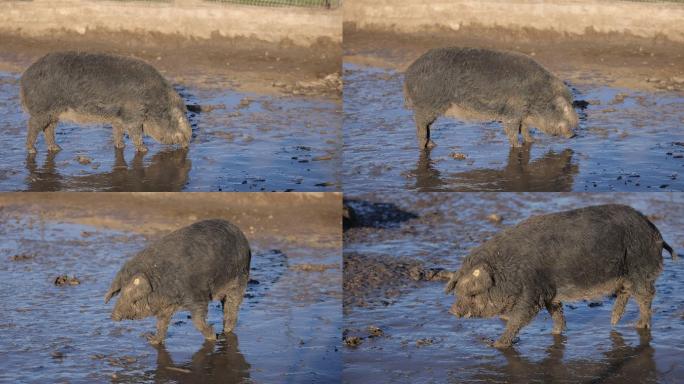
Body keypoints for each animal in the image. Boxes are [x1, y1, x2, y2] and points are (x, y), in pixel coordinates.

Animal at [20, 51, 191, 153]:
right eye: (177, 117)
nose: (188, 140)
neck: (153, 100)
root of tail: (25, 78)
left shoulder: (118, 116)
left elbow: (118, 131)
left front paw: (120, 146)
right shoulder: (133, 113)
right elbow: (135, 132)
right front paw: (144, 150)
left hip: (54, 114)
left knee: (48, 129)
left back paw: (56, 149)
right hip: (42, 109)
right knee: (33, 126)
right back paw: (32, 150)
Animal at [108, 219, 252, 344]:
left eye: (131, 294)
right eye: (121, 291)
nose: (113, 315)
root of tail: (242, 235)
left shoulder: (196, 295)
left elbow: (198, 320)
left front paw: (212, 337)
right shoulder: (166, 306)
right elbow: (162, 323)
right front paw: (150, 339)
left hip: (239, 280)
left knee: (232, 307)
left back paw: (225, 332)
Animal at [404, 47, 580, 149]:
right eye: (564, 109)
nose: (573, 135)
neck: (536, 95)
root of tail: (409, 73)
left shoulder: (522, 114)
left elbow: (525, 129)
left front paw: (532, 142)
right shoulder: (512, 111)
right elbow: (512, 130)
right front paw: (518, 147)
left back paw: (433, 144)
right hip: (427, 105)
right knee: (420, 125)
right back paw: (425, 146)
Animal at [446, 206, 676, 350]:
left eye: (472, 293)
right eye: (458, 291)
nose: (453, 310)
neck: (508, 271)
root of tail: (656, 234)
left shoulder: (532, 292)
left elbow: (519, 318)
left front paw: (496, 345)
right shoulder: (550, 294)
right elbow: (556, 313)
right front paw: (556, 334)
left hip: (639, 269)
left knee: (646, 295)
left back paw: (638, 326)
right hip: (625, 275)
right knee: (626, 293)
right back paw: (613, 322)